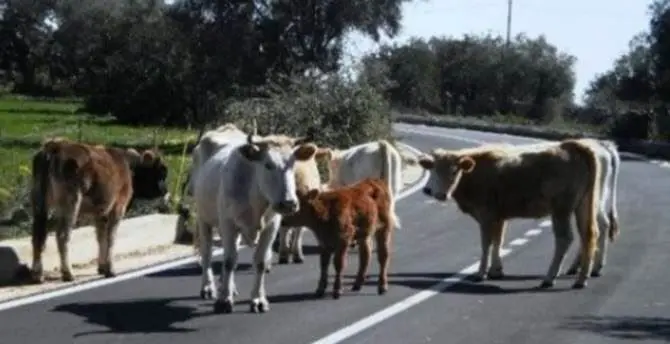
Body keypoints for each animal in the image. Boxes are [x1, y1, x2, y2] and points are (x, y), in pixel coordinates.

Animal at [30, 136, 169, 282]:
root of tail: (55, 146)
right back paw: (68, 273)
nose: (165, 191)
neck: (129, 168)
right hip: (70, 203)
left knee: (38, 234)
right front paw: (110, 269)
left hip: (40, 203)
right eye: (161, 173)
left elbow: (101, 237)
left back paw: (37, 274)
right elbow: (111, 238)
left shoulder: (101, 213)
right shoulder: (117, 208)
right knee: (62, 235)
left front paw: (102, 267)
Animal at [192, 130, 318, 314]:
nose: (289, 203)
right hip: (203, 218)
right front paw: (223, 300)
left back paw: (229, 287)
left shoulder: (271, 226)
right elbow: (229, 261)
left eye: (293, 164)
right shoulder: (228, 223)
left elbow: (260, 262)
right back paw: (208, 288)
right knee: (207, 252)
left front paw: (258, 300)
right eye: (268, 164)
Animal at [420, 140, 604, 290]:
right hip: (583, 205)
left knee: (565, 238)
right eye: (433, 169)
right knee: (589, 234)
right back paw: (581, 279)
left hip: (561, 210)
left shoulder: (486, 216)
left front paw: (481, 273)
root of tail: (572, 146)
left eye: (454, 171)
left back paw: (549, 278)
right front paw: (496, 270)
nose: (435, 192)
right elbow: (498, 240)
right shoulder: (499, 216)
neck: (476, 172)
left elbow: (486, 243)